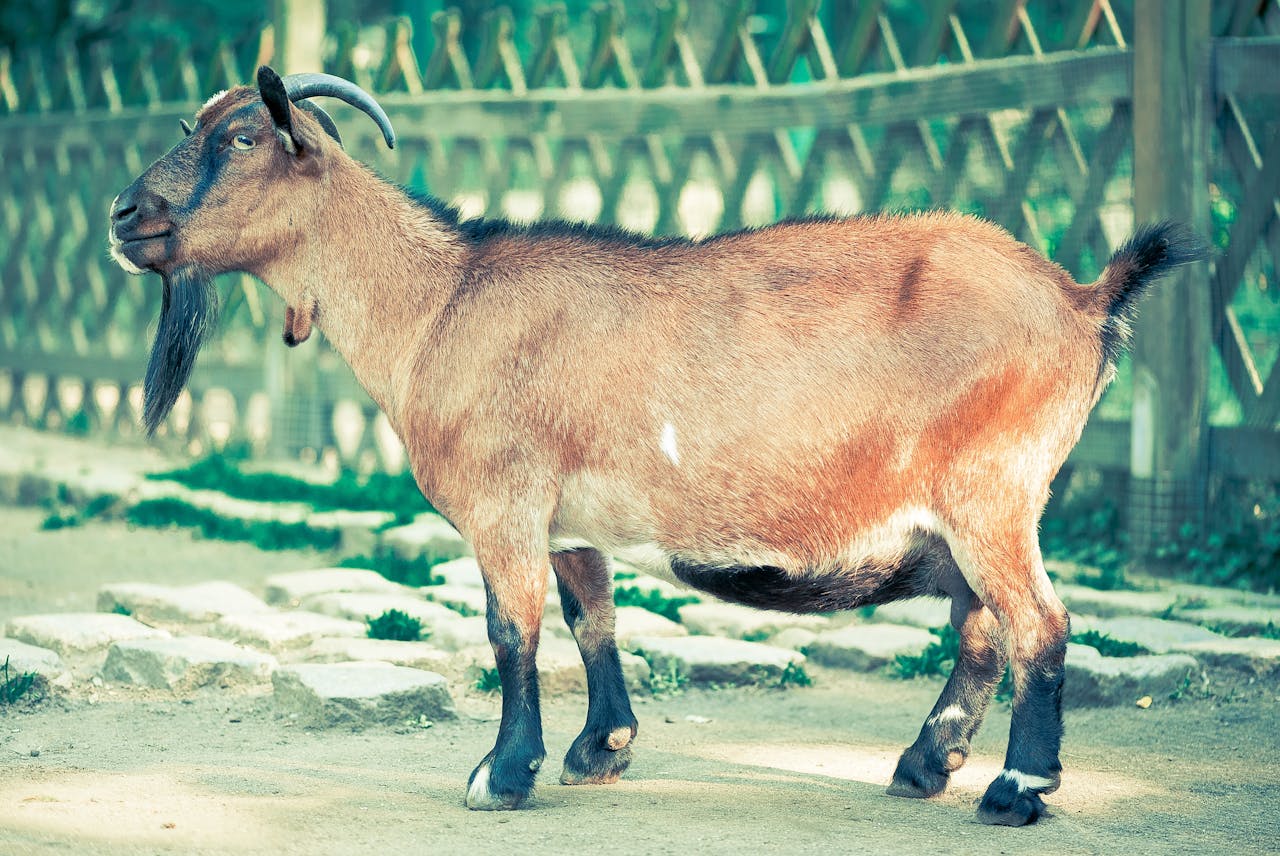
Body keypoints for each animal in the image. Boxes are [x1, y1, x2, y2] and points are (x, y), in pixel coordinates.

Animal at [110, 66, 1208, 818]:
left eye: (241, 136)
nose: (124, 214)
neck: (438, 302)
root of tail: (1083, 299)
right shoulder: (569, 518)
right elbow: (590, 618)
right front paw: (601, 749)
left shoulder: (504, 504)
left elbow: (511, 630)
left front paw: (500, 773)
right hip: (972, 508)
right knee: (981, 625)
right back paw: (921, 765)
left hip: (992, 488)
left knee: (1037, 625)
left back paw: (1016, 787)